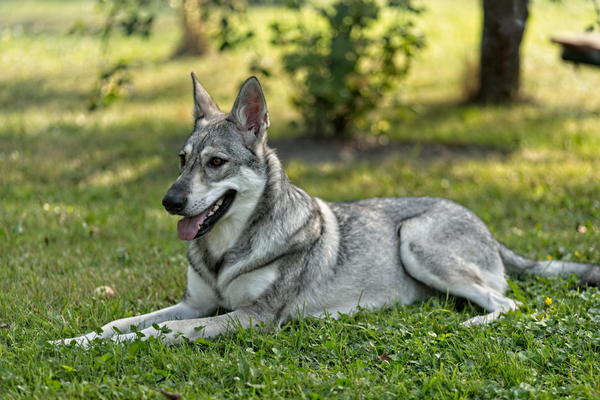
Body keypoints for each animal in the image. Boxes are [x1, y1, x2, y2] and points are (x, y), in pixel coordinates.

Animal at [51, 74, 600, 346]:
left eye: (215, 162)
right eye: (182, 161)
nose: (170, 202)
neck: (225, 252)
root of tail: (485, 226)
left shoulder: (251, 319)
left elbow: (157, 332)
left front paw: (103, 347)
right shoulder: (197, 305)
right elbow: (122, 323)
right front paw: (73, 341)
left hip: (415, 240)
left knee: (507, 305)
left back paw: (468, 325)